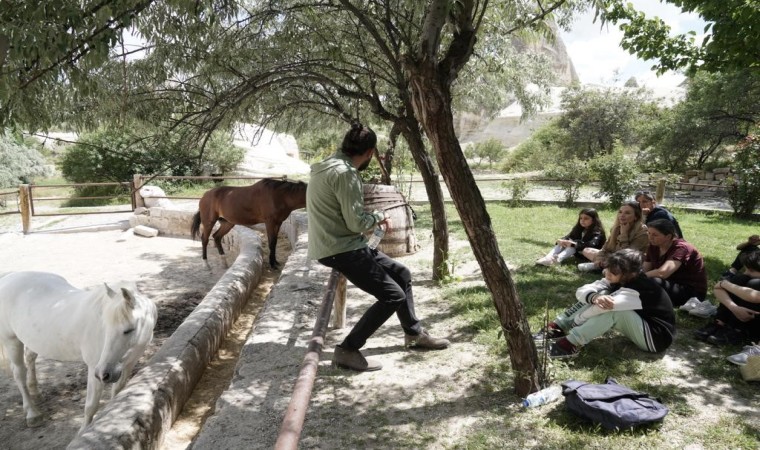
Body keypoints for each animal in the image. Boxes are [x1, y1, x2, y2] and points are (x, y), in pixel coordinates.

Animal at [0, 270, 157, 432]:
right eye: (105, 328)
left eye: (129, 330)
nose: (104, 373)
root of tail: (8, 277)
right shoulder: (94, 368)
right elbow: (91, 406)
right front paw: (84, 431)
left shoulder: (129, 363)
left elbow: (117, 391)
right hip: (11, 340)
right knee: (19, 373)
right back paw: (32, 414)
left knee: (30, 358)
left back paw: (35, 393)